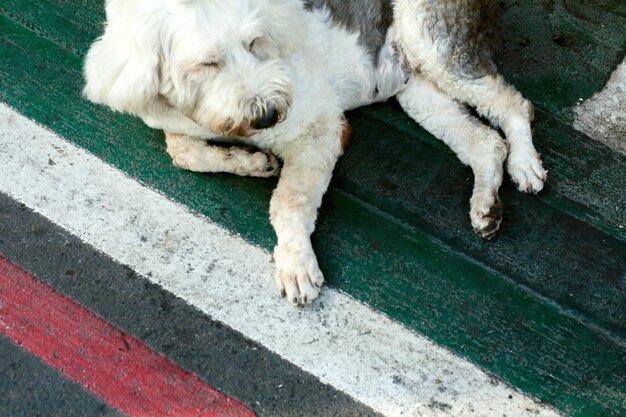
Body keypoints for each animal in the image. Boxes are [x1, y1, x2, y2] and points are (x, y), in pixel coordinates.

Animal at [85, 0, 544, 306]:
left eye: (255, 43)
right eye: (207, 64)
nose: (270, 114)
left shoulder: (323, 131)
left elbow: (289, 201)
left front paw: (295, 265)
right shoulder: (174, 121)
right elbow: (180, 150)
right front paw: (252, 162)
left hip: (434, 46)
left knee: (515, 105)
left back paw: (525, 165)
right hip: (416, 86)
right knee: (484, 142)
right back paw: (486, 206)